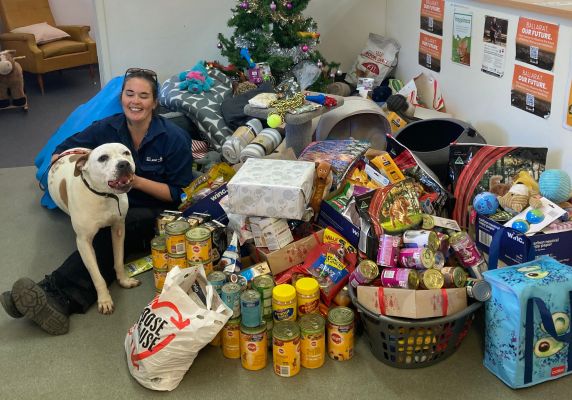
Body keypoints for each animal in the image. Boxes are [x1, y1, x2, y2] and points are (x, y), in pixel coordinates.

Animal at [48, 142, 140, 314]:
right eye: (103, 158)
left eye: (126, 153)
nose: (124, 164)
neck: (103, 196)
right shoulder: (84, 243)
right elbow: (97, 277)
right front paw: (104, 299)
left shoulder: (118, 229)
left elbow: (118, 260)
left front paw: (123, 280)